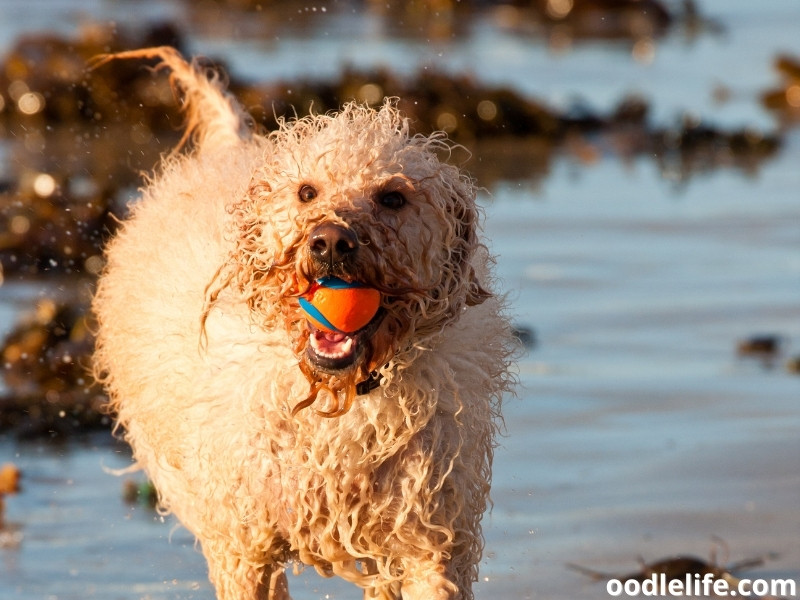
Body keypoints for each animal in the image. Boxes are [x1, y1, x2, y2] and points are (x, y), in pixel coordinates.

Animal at [94, 47, 516, 600]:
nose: (331, 240)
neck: (339, 401)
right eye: (306, 191)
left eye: (393, 197)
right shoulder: (245, 545)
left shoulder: (431, 538)